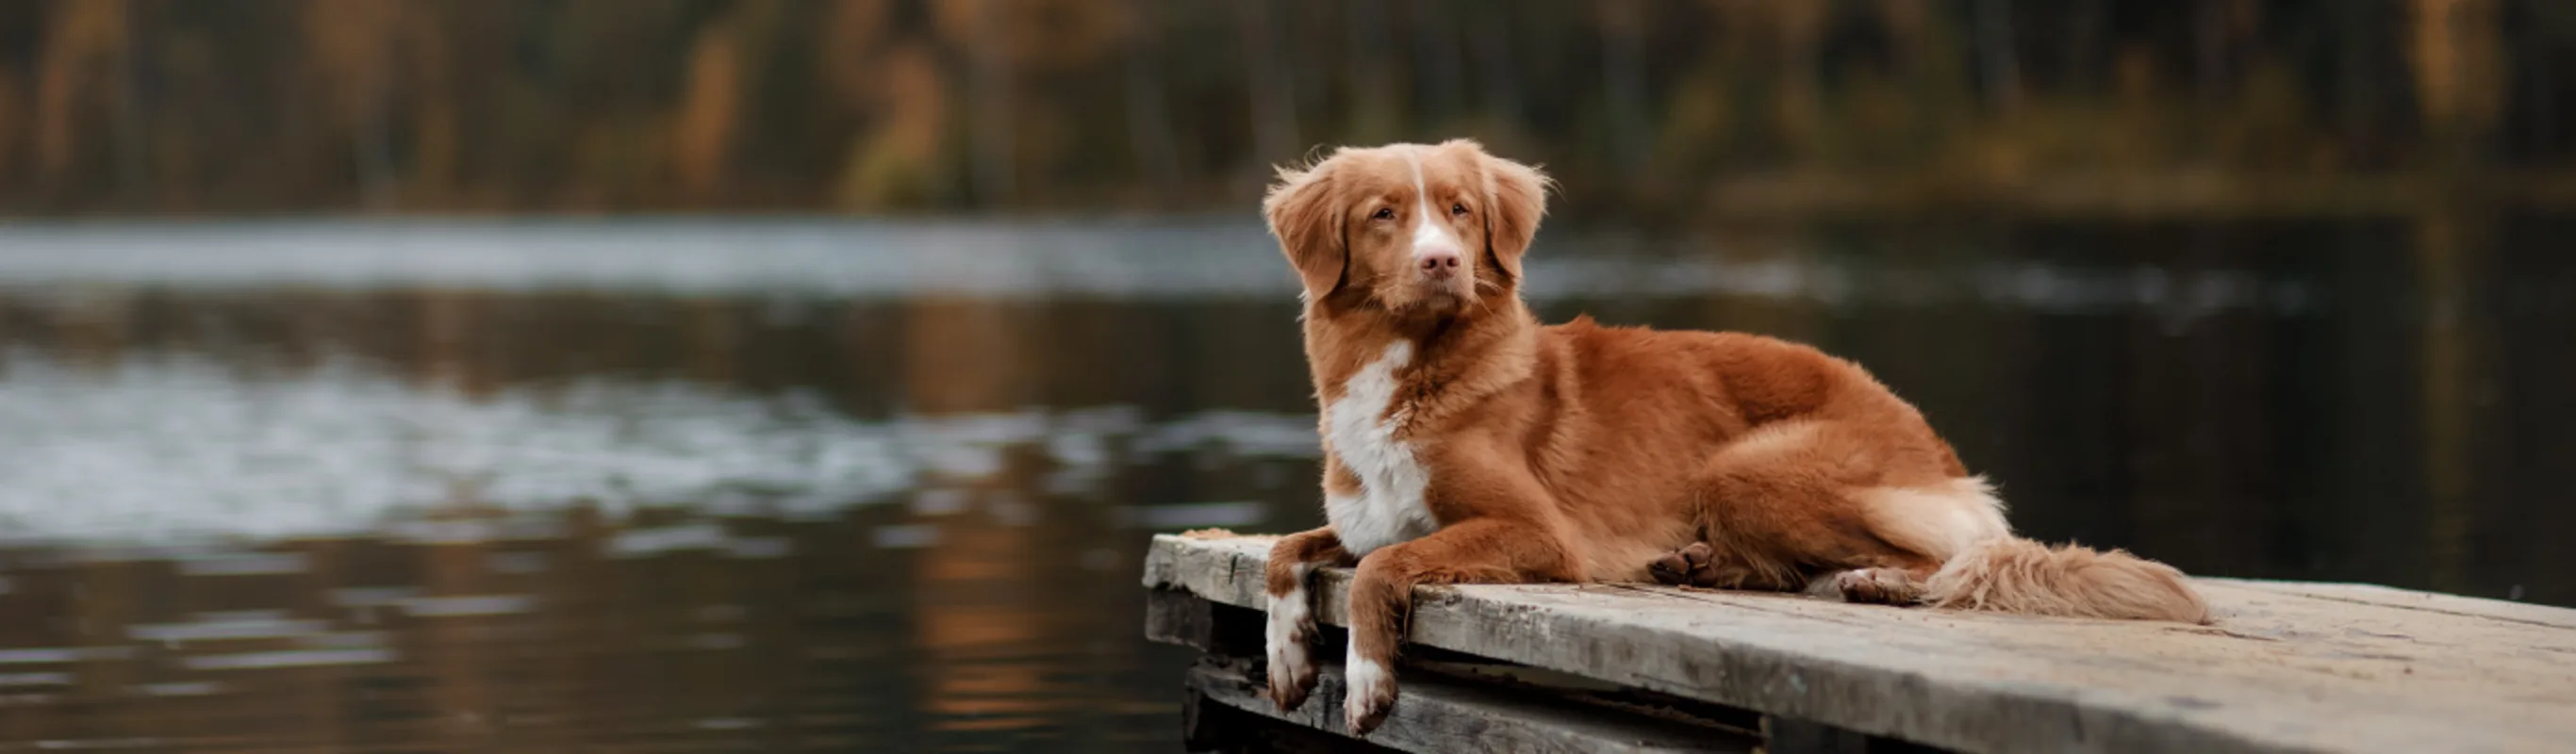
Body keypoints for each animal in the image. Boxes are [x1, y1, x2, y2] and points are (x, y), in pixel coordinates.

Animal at [1257, 139, 2204, 735]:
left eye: (1458, 211)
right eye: (1384, 215)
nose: (1442, 263)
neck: (1413, 367)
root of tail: (1930, 438)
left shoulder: (1537, 533)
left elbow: (1381, 567)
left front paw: (1367, 680)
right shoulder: (1364, 517)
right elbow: (1285, 551)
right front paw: (1289, 658)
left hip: (1745, 466)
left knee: (1945, 563)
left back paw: (1874, 582)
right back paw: (1696, 563)